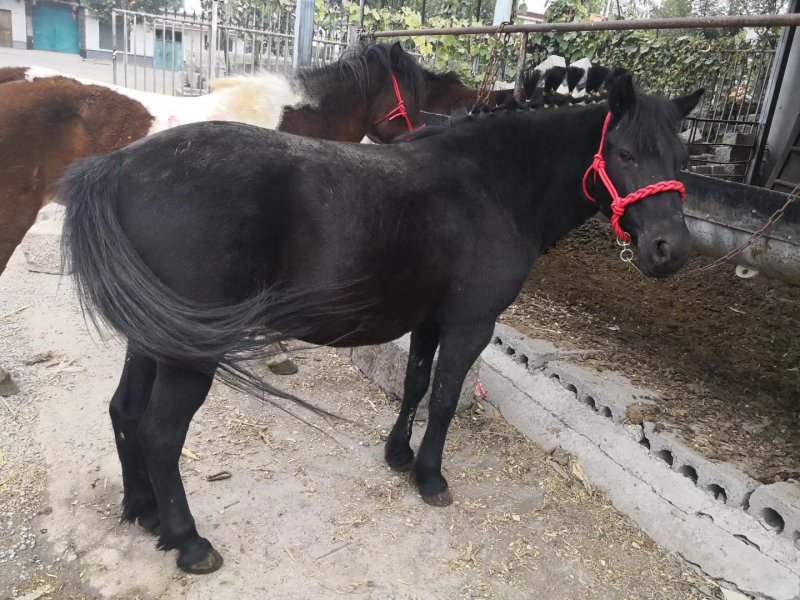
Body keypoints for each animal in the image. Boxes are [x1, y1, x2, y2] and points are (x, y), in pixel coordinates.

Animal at [60, 74, 703, 574]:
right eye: (625, 153)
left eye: (681, 161)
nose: (670, 250)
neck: (491, 184)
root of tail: (118, 166)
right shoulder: (470, 325)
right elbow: (444, 398)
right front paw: (430, 478)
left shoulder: (430, 321)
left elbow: (415, 384)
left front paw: (398, 456)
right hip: (188, 354)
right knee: (161, 432)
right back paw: (190, 542)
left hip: (154, 338)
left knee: (125, 412)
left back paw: (145, 513)